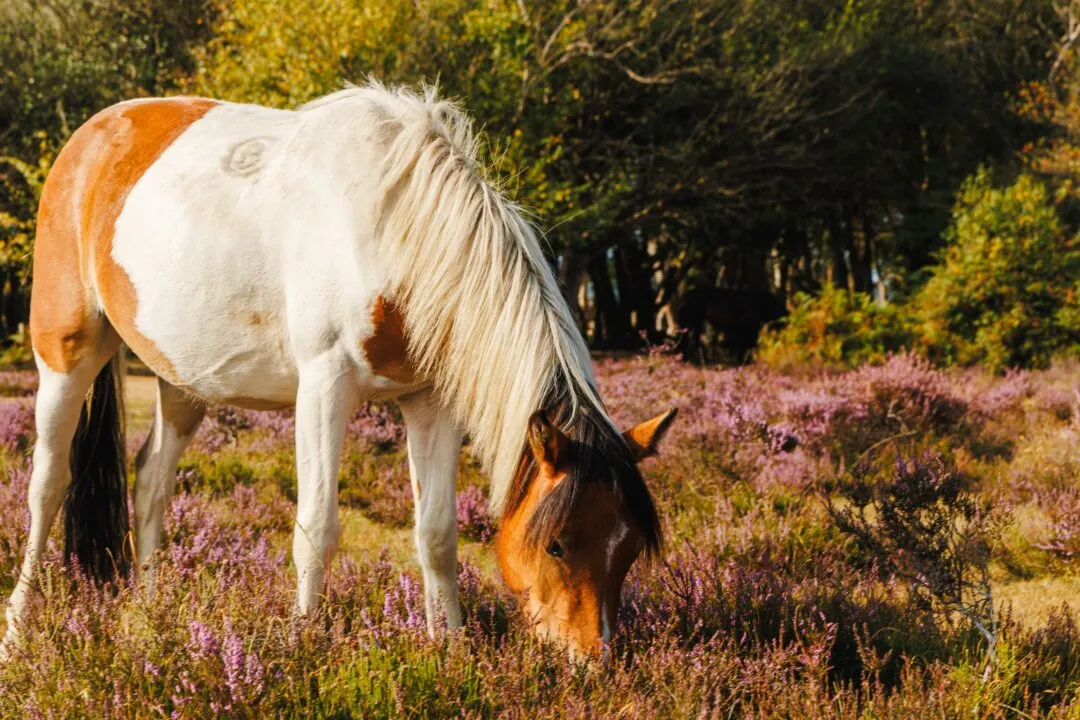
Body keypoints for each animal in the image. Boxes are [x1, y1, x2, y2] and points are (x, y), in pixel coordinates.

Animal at [2, 82, 677, 659]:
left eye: (629, 548)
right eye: (558, 544)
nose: (593, 660)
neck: (396, 228)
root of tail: (91, 138)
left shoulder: (430, 404)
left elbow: (437, 534)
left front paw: (452, 649)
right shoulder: (325, 388)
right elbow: (317, 528)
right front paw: (303, 643)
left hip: (181, 381)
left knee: (151, 482)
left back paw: (148, 612)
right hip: (65, 355)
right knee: (49, 484)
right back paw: (20, 625)